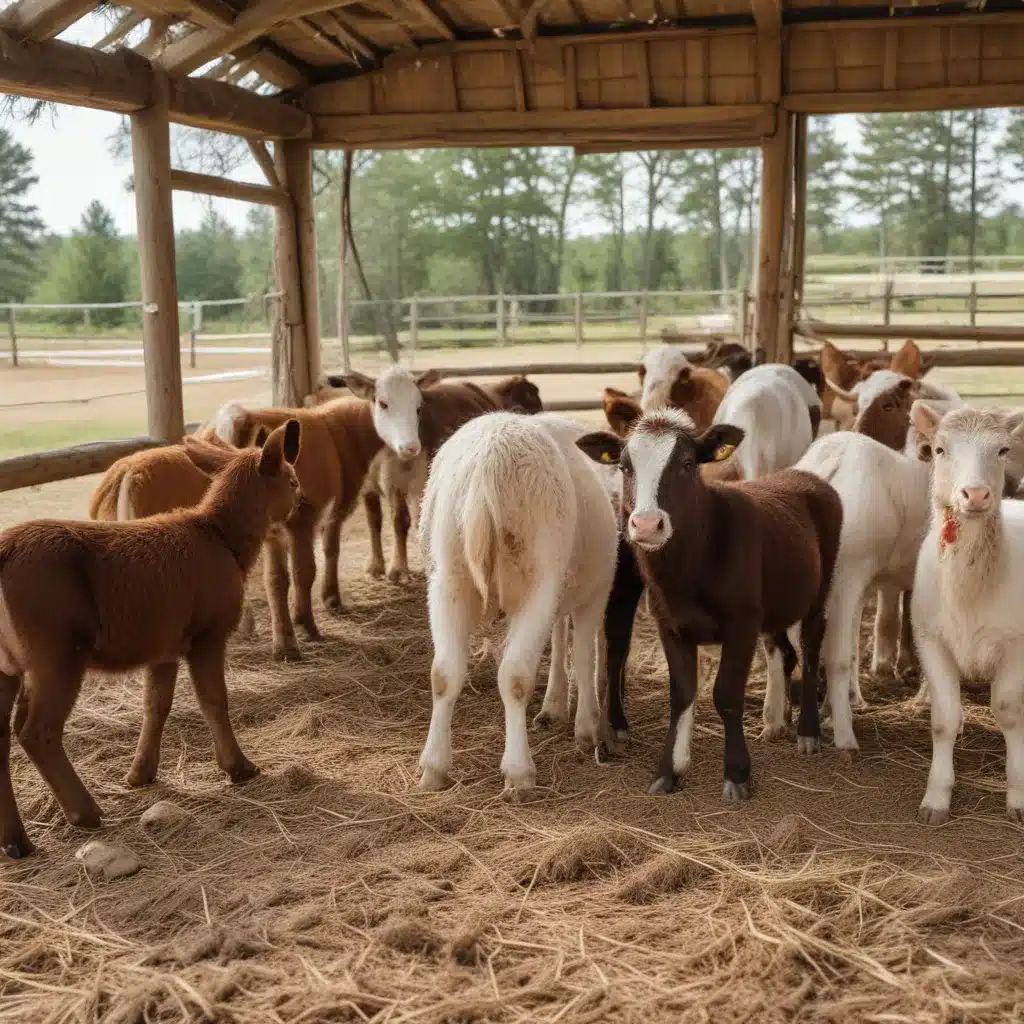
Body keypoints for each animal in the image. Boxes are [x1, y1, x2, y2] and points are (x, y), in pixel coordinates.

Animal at [415, 411, 614, 794]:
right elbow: (583, 656)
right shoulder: (595, 591)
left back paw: (434, 766)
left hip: (448, 580)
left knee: (444, 673)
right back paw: (521, 768)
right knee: (518, 675)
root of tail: (489, 463)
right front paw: (587, 726)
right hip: (541, 581)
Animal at [573, 411, 843, 802]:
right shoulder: (670, 625)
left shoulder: (741, 623)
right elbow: (682, 694)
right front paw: (668, 772)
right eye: (624, 467)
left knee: (809, 649)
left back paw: (808, 731)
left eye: (687, 464)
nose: (646, 525)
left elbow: (726, 694)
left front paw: (736, 774)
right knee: (784, 651)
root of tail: (804, 475)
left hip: (819, 590)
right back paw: (777, 720)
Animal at [917, 403, 1024, 819]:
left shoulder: (1017, 644)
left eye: (1003, 450)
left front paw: (1017, 795)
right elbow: (943, 720)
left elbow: (1008, 710)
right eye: (939, 449)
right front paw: (936, 797)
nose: (975, 494)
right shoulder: (931, 639)